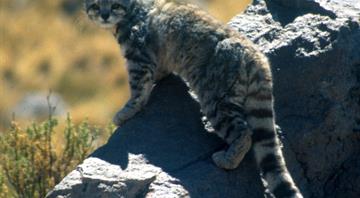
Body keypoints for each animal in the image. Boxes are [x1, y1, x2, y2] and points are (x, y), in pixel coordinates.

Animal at [84, 0, 304, 196]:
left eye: (114, 5)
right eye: (96, 5)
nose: (104, 15)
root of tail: (258, 58)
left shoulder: (138, 58)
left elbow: (138, 91)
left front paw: (125, 113)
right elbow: (159, 72)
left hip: (216, 100)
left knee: (244, 132)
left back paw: (227, 160)